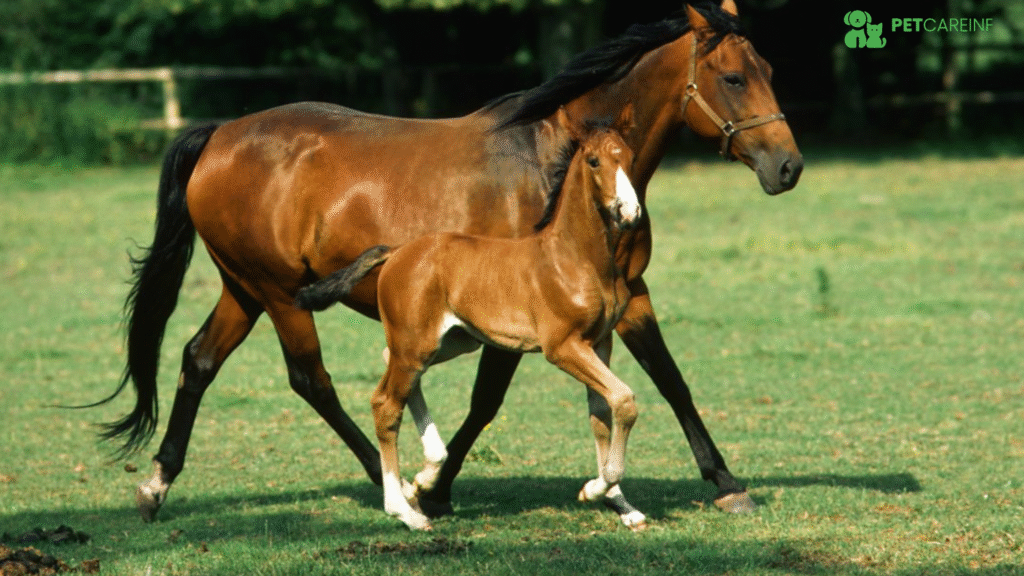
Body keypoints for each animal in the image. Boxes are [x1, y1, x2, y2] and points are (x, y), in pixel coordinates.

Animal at [295, 108, 645, 530]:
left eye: (629, 157)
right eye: (594, 161)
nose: (629, 212)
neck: (577, 257)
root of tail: (397, 252)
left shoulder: (599, 343)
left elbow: (601, 414)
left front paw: (620, 504)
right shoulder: (563, 347)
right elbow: (623, 400)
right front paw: (596, 490)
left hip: (447, 342)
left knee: (391, 367)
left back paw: (424, 478)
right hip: (417, 344)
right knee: (385, 404)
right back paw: (405, 511)